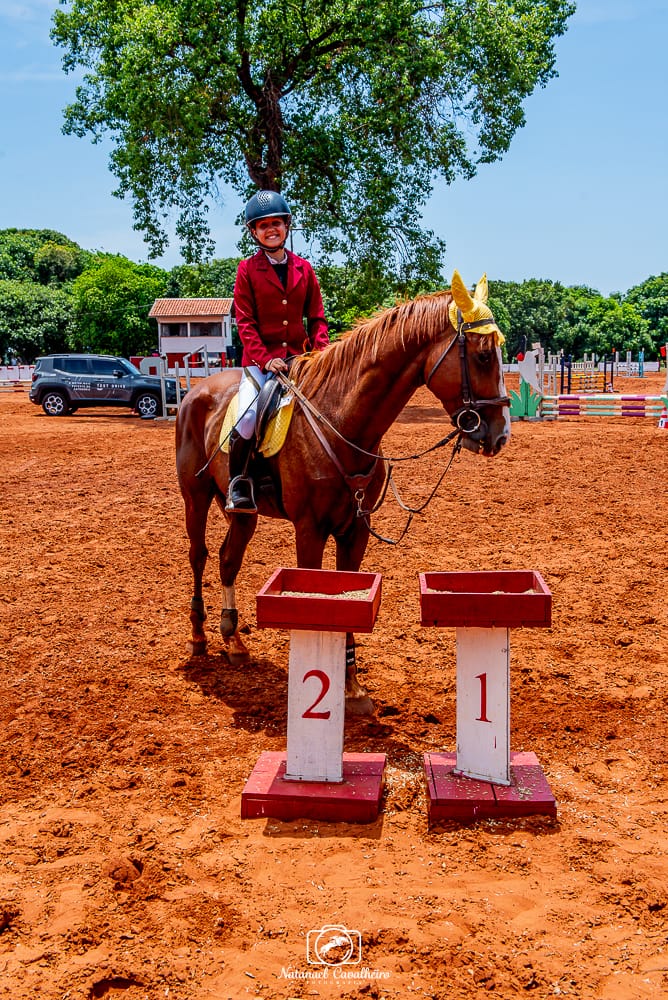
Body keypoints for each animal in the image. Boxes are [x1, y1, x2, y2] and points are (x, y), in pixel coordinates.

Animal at [175, 272, 508, 712]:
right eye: (484, 356)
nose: (500, 434)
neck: (342, 420)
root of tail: (197, 391)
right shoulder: (309, 530)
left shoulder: (356, 530)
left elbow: (353, 596)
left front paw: (350, 685)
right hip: (194, 498)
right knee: (199, 556)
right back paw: (199, 636)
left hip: (242, 512)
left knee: (228, 560)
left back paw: (233, 641)